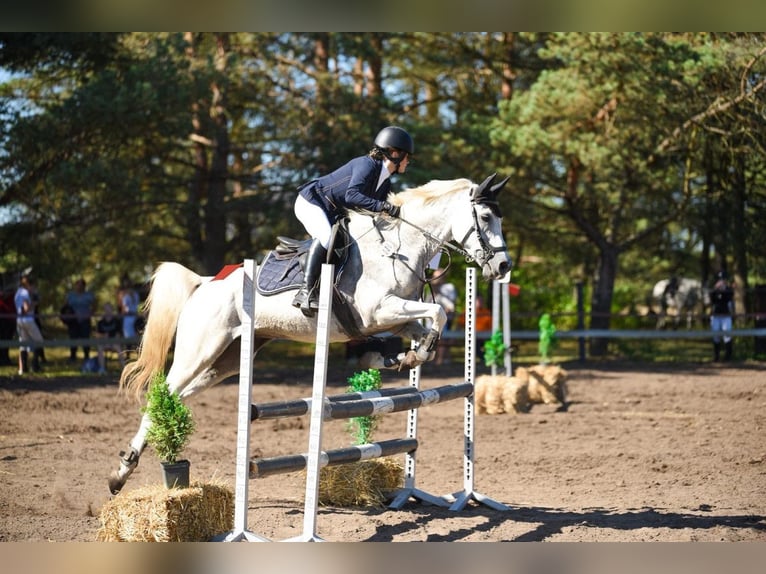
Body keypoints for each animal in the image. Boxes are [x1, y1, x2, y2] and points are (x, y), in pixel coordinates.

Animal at [108, 173, 513, 494]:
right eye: (486, 217)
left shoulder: (391, 317)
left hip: (225, 360)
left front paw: (403, 356)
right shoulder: (378, 311)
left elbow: (426, 323)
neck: (397, 249)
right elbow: (438, 311)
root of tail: (205, 282)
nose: (504, 266)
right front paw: (409, 353)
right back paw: (122, 469)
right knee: (162, 393)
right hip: (201, 348)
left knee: (177, 396)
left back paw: (125, 470)